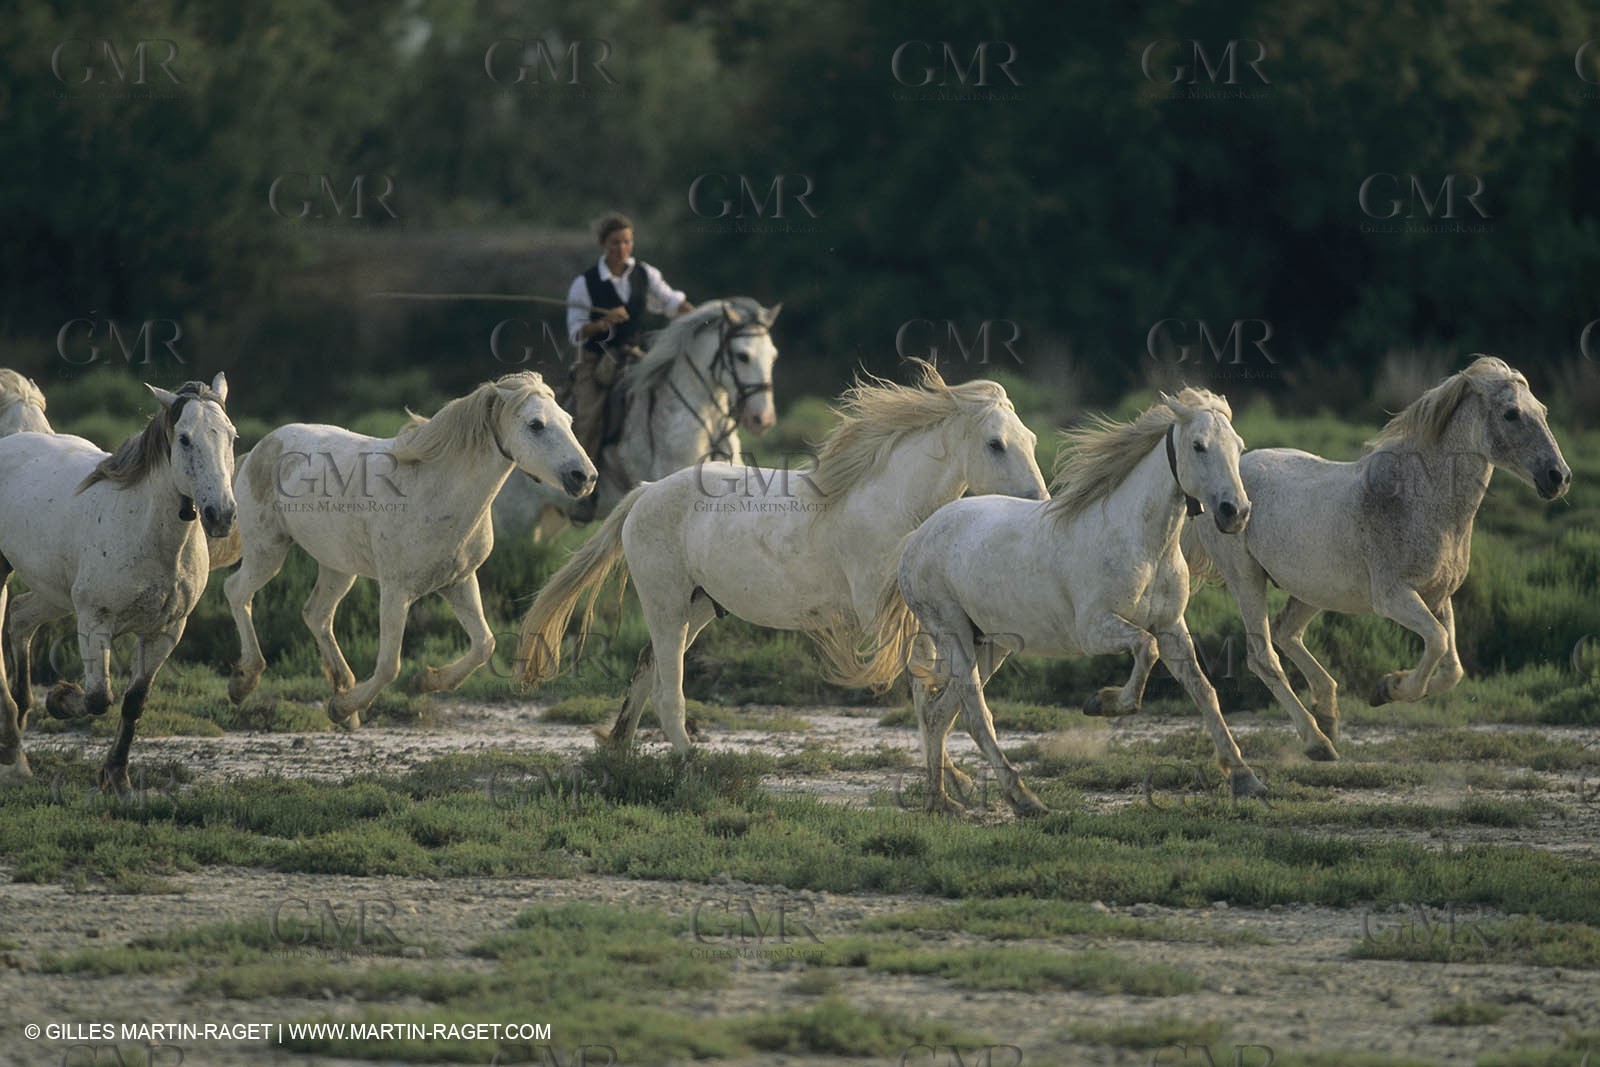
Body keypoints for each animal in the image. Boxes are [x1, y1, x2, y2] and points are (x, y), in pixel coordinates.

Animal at [0, 375, 236, 792]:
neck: (142, 527)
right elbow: (99, 698)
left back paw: (21, 724)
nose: (220, 514)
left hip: (53, 591)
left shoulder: (165, 631)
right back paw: (12, 751)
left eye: (232, 436)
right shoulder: (95, 619)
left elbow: (133, 701)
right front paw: (59, 697)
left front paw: (117, 776)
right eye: (184, 438)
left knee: (20, 617)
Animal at [225, 372, 595, 728]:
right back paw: (245, 682)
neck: (435, 491)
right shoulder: (396, 589)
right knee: (237, 592)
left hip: (338, 566)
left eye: (568, 420)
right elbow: (390, 666)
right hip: (267, 551)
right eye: (536, 424)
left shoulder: (459, 582)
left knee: (316, 613)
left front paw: (423, 682)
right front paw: (345, 705)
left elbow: (484, 645)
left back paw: (343, 698)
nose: (585, 477)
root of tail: (260, 447)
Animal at [515, 362, 1049, 753]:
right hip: (665, 604)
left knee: (647, 669)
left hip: (698, 606)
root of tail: (646, 493)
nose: (1037, 504)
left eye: (1032, 441)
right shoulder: (884, 612)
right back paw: (690, 767)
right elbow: (928, 678)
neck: (889, 504)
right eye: (996, 444)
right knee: (669, 691)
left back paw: (619, 754)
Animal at [874, 388, 1262, 816]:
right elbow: (1146, 649)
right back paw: (1023, 799)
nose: (1235, 513)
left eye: (1239, 445)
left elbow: (1203, 691)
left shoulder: (1172, 626)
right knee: (975, 715)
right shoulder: (1094, 630)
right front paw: (1102, 703)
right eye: (1199, 445)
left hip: (991, 643)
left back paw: (940, 800)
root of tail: (916, 538)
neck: (1142, 542)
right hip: (952, 632)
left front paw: (1246, 779)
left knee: (940, 712)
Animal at [1185, 356, 1570, 756]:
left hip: (1313, 589)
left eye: (1542, 411)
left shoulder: (1438, 596)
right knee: (1263, 655)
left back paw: (1327, 714)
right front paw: (1390, 688)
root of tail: (1220, 488)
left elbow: (1452, 668)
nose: (1558, 477)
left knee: (1286, 631)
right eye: (1511, 414)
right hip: (1246, 578)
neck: (1419, 502)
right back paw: (1318, 742)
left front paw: (1385, 688)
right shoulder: (1393, 597)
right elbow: (1437, 641)